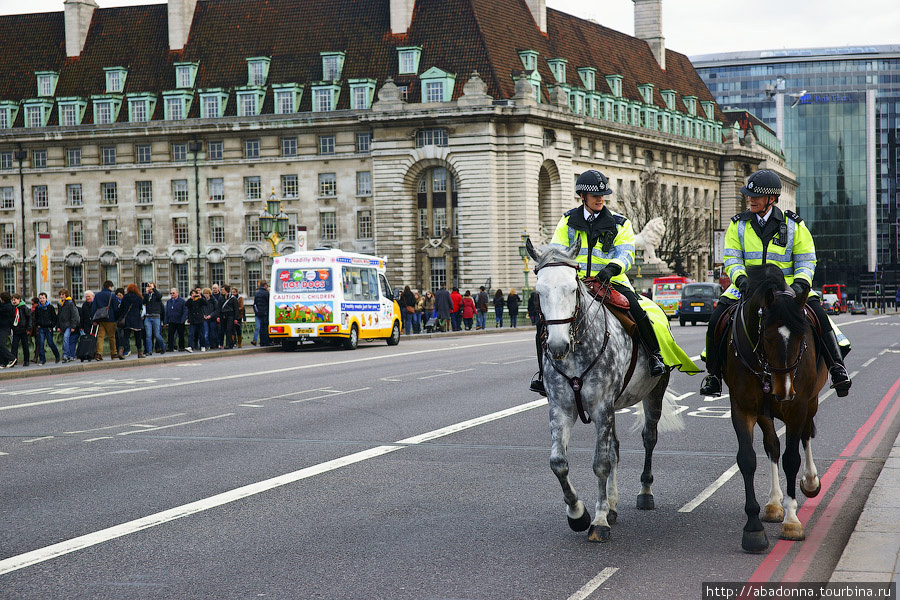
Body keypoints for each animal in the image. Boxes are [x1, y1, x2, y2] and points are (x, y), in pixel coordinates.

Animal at [528, 239, 684, 544]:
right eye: (538, 291)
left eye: (572, 288)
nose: (558, 346)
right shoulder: (561, 409)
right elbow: (559, 463)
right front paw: (578, 514)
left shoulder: (601, 406)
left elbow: (600, 463)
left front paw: (598, 521)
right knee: (615, 448)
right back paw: (611, 505)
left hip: (653, 393)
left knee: (649, 438)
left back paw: (644, 492)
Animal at [728, 264, 828, 552]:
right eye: (767, 337)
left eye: (801, 335)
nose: (782, 392)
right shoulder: (744, 407)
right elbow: (748, 459)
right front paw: (753, 529)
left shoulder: (798, 407)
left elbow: (791, 459)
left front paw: (792, 521)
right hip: (766, 412)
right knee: (772, 445)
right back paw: (774, 503)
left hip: (811, 401)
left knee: (806, 435)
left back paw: (810, 481)